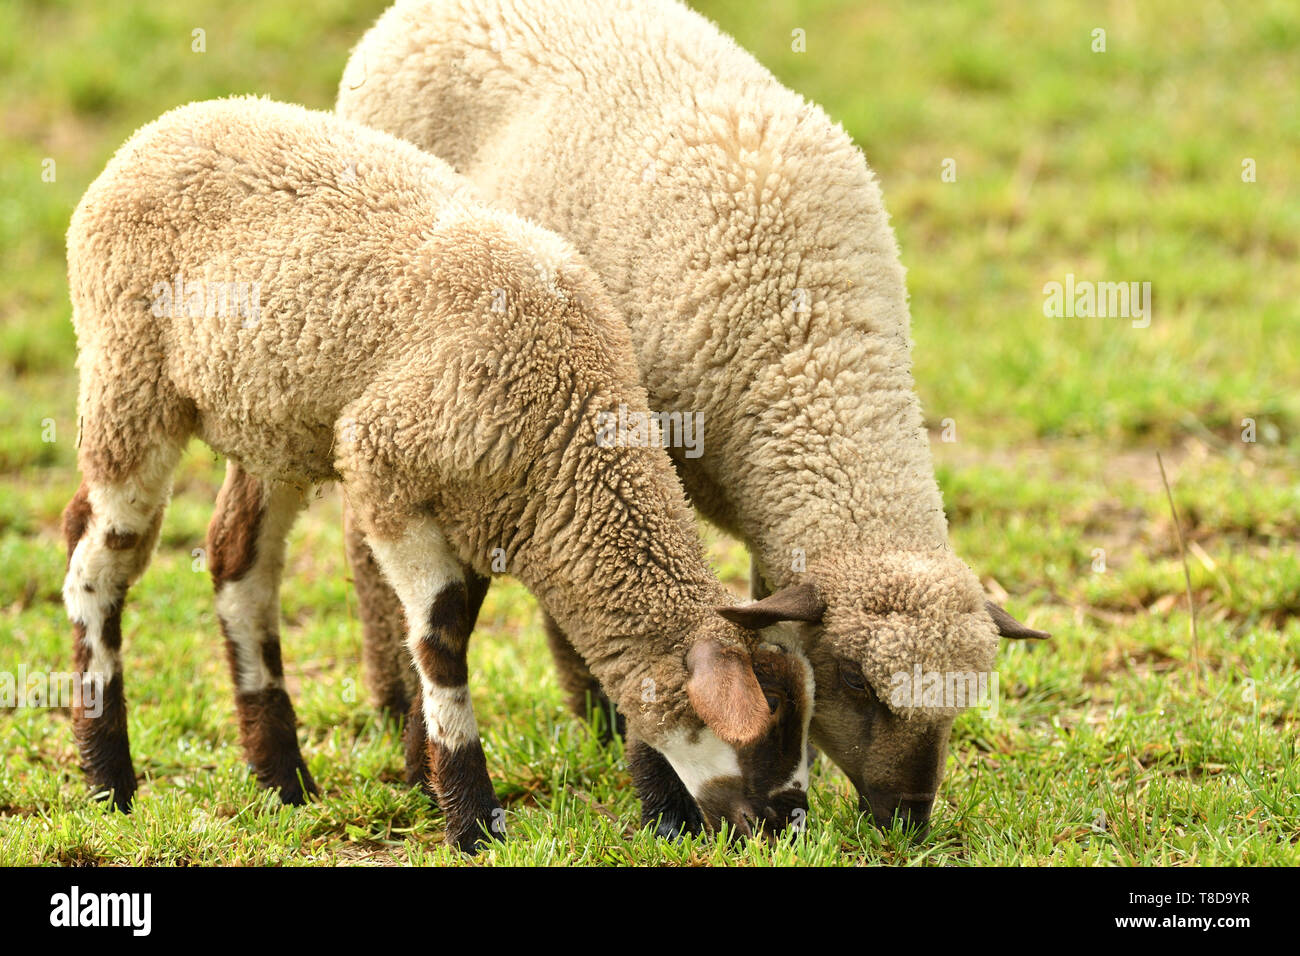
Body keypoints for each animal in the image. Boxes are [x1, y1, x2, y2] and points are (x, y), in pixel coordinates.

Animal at [60, 95, 818, 851]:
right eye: (766, 731)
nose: (790, 827)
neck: (571, 421)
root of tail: (166, 126)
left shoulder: (481, 512)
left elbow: (455, 626)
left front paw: (425, 777)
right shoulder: (383, 466)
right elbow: (442, 639)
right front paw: (471, 818)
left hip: (270, 422)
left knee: (236, 563)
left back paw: (281, 779)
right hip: (128, 374)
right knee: (97, 555)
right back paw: (108, 779)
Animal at [336, 0, 1050, 836]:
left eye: (962, 704)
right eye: (857, 681)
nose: (907, 819)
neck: (813, 349)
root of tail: (412, 13)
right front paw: (663, 799)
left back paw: (591, 710)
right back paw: (393, 699)